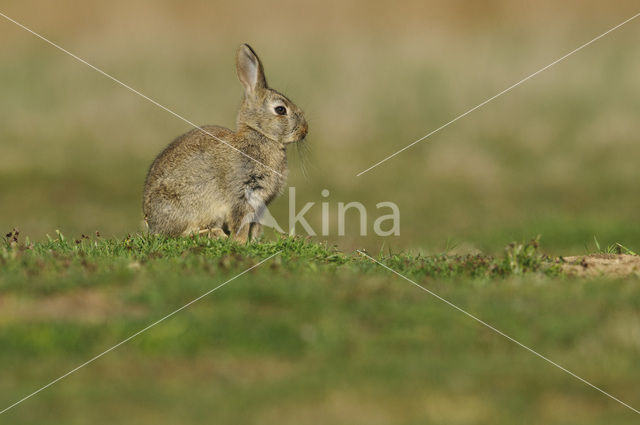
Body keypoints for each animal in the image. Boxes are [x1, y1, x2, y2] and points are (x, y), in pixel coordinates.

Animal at [142, 44, 308, 242]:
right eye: (281, 110)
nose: (305, 130)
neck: (260, 135)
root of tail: (150, 221)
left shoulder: (260, 204)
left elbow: (255, 225)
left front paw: (253, 241)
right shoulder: (242, 192)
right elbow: (241, 221)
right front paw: (240, 242)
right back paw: (214, 234)